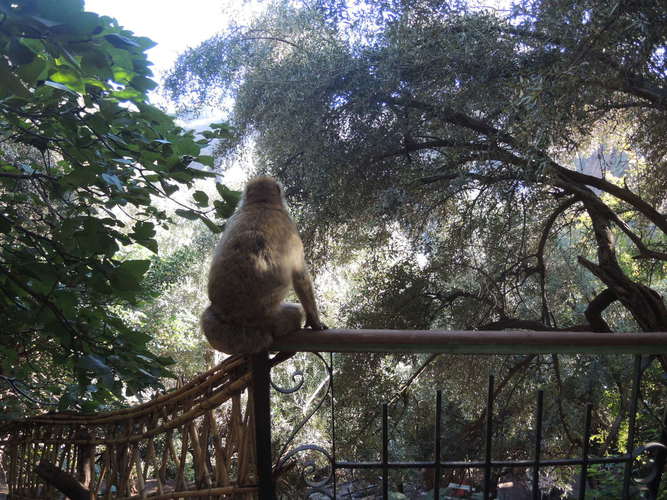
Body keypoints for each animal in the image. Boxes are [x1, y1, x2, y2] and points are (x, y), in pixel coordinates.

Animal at [201, 176, 326, 354]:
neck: (262, 203)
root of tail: (234, 316)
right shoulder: (290, 226)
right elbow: (300, 276)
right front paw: (315, 321)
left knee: (207, 318)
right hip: (270, 319)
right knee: (296, 312)